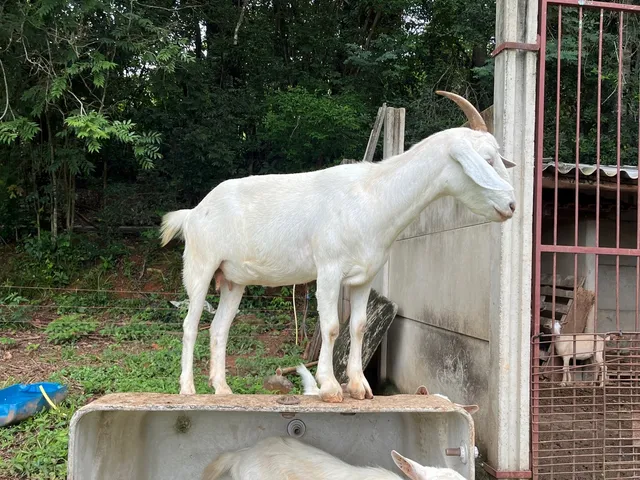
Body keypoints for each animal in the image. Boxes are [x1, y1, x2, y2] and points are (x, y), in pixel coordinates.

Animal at [160, 91, 517, 402]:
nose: (512, 205)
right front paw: (330, 387)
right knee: (190, 324)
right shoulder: (329, 269)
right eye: (486, 160)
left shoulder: (364, 278)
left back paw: (222, 389)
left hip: (233, 280)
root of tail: (193, 213)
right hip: (201, 265)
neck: (373, 197)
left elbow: (358, 326)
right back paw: (188, 389)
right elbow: (331, 327)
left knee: (218, 329)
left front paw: (360, 387)